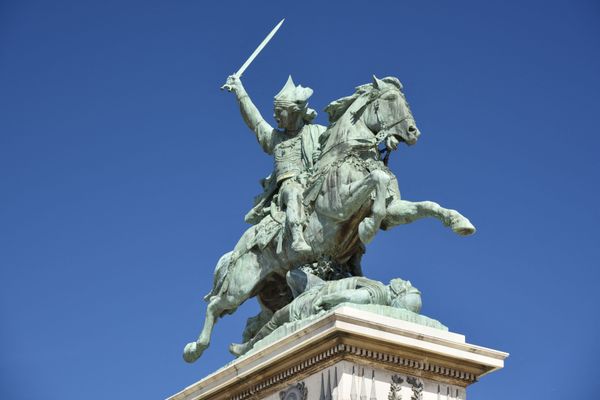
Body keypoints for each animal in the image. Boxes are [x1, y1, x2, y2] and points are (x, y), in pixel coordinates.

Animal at [183, 76, 474, 362]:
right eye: (391, 99)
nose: (414, 132)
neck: (352, 156)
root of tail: (235, 251)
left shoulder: (394, 211)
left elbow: (425, 205)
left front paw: (459, 221)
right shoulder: (338, 206)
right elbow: (377, 180)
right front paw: (367, 228)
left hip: (273, 289)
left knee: (254, 322)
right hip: (239, 287)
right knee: (215, 307)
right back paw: (195, 348)